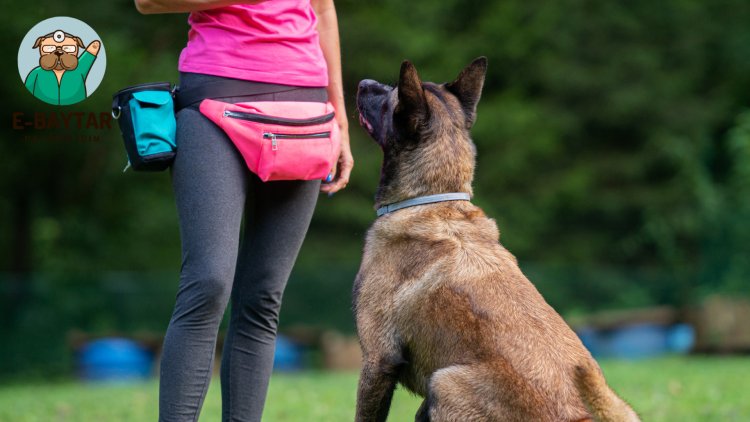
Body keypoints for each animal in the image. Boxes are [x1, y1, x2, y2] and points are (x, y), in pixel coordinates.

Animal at [354, 56, 640, 422]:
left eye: (390, 96)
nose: (362, 82)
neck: (433, 199)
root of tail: (581, 416)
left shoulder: (378, 360)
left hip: (444, 382)